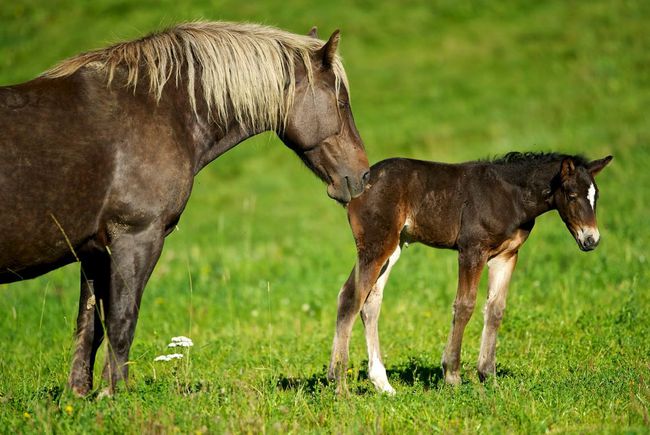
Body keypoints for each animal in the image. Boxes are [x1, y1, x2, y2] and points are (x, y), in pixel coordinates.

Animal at [0, 22, 370, 396]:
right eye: (341, 102)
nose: (363, 175)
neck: (156, 110)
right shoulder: (135, 237)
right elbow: (121, 320)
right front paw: (113, 393)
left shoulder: (94, 251)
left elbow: (88, 327)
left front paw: (80, 396)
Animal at [326, 152, 612, 396]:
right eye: (572, 195)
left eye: (596, 196)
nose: (591, 240)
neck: (510, 196)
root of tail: (358, 184)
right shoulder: (471, 249)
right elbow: (465, 305)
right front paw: (452, 375)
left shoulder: (506, 255)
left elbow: (495, 310)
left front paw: (488, 376)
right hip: (376, 244)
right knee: (350, 297)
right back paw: (338, 383)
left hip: (394, 246)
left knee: (370, 302)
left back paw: (382, 384)